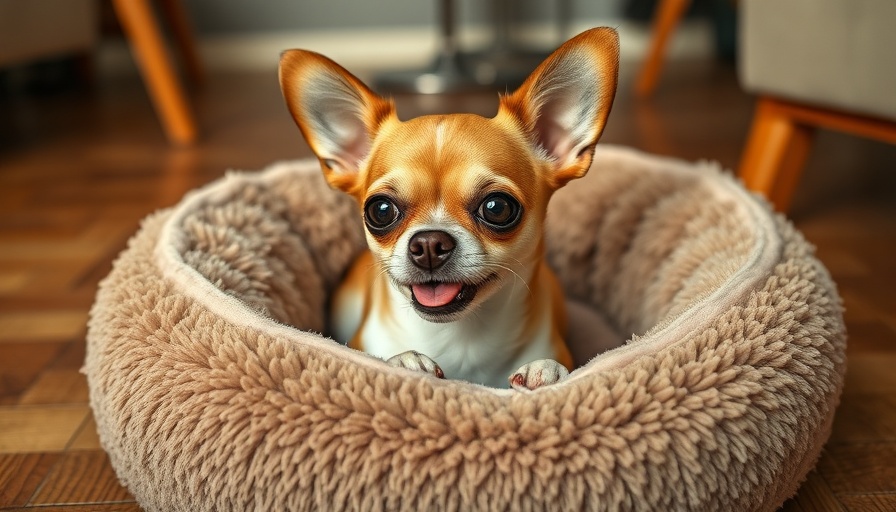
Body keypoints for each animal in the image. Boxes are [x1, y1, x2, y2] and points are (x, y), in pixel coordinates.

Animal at [278, 27, 616, 388]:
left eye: (497, 207)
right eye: (380, 211)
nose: (429, 243)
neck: (458, 338)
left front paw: (546, 369)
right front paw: (404, 361)